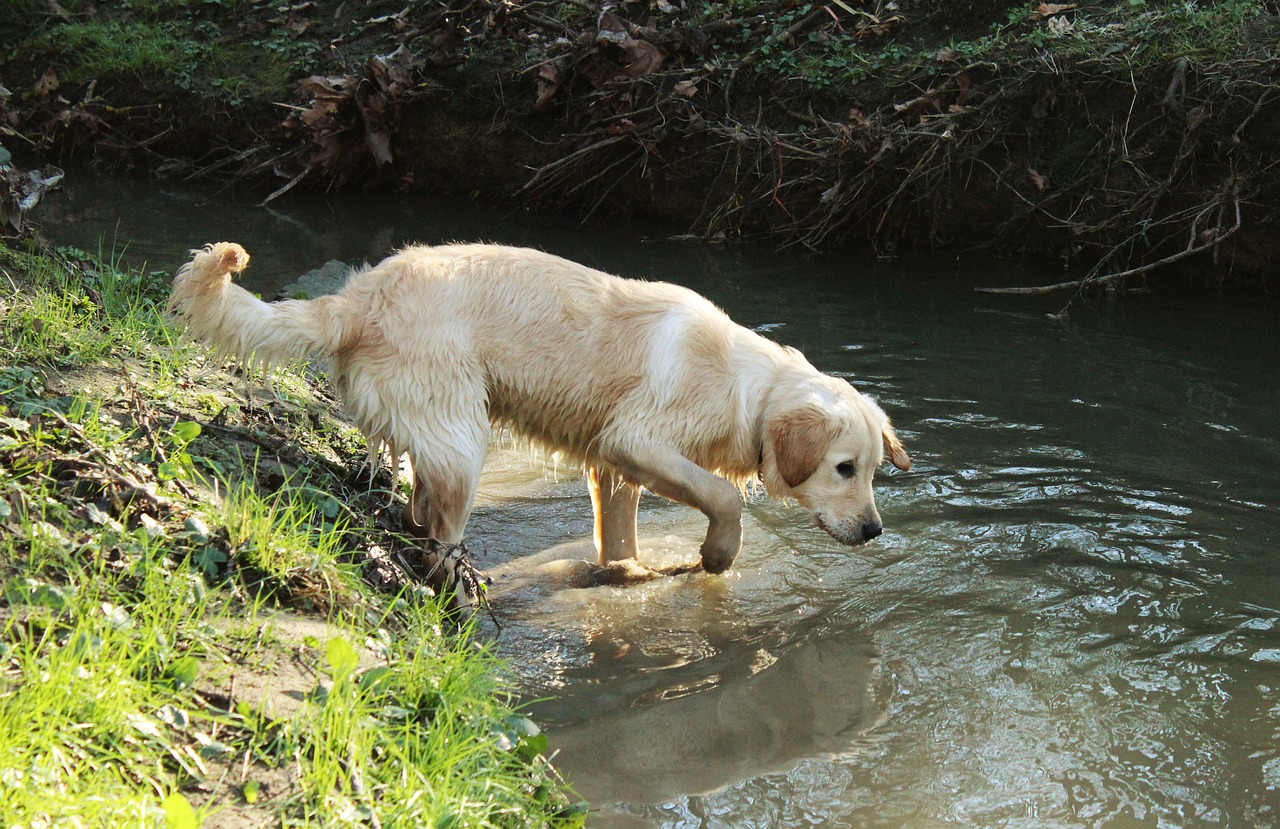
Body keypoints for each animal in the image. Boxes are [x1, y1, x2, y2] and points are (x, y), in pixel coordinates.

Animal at [170, 244, 911, 601]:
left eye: (875, 471)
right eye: (843, 469)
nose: (875, 530)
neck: (745, 388)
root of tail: (356, 297)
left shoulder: (613, 467)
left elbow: (621, 542)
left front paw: (627, 575)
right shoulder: (635, 439)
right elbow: (723, 495)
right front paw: (716, 554)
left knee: (416, 512)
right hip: (462, 439)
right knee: (441, 539)